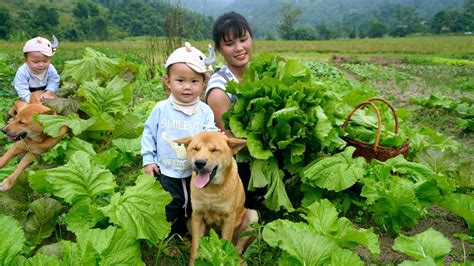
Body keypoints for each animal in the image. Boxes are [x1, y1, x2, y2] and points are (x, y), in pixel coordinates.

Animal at [176, 132, 260, 264]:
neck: (211, 190)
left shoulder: (228, 219)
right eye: (195, 149)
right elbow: (195, 249)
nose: (199, 163)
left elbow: (225, 247)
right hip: (189, 221)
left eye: (215, 150)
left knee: (238, 249)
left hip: (252, 217)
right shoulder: (197, 216)